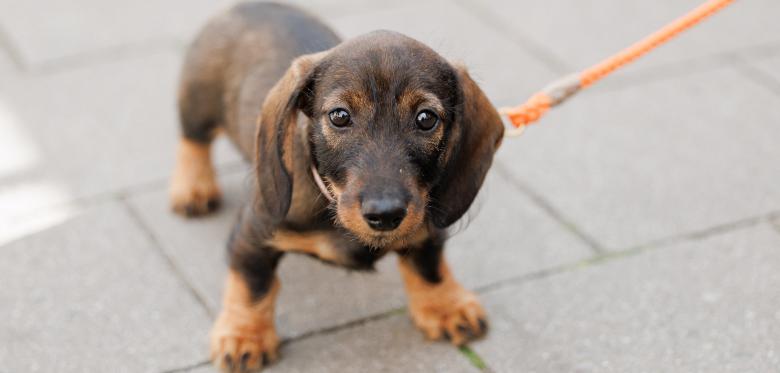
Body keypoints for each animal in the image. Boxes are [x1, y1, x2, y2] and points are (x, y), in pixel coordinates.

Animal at [169, 2, 506, 370]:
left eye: (426, 119)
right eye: (340, 116)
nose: (385, 214)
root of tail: (251, 7)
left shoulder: (425, 222)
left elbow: (429, 266)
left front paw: (445, 305)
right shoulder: (253, 233)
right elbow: (252, 285)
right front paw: (245, 335)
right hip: (197, 102)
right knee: (193, 141)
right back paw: (193, 187)